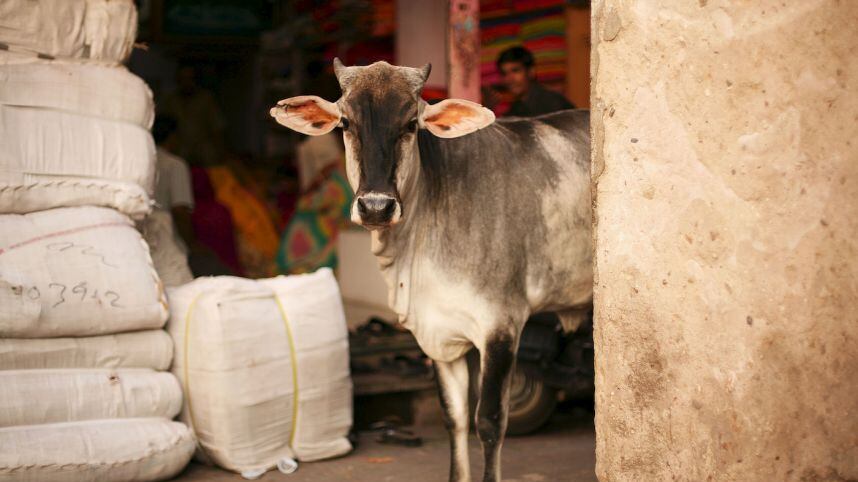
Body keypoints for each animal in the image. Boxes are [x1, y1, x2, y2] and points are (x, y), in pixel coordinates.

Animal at [271, 59, 591, 482]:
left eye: (411, 124)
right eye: (345, 123)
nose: (376, 206)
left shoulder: (501, 326)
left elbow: (489, 421)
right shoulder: (438, 336)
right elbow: (455, 418)